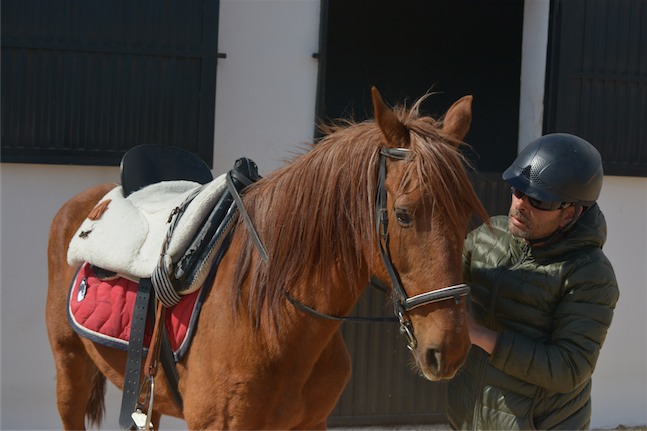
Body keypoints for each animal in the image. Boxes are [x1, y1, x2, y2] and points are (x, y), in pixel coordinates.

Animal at [48, 88, 488, 428]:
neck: (271, 317)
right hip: (70, 369)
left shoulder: (311, 423)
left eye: (467, 215)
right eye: (403, 215)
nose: (449, 349)